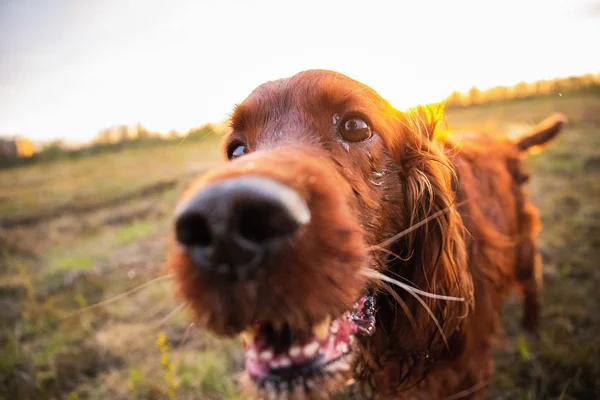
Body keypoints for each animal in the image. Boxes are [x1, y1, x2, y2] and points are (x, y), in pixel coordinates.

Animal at [168, 70, 568, 398]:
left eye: (356, 127)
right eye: (236, 149)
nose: (222, 223)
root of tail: (504, 142)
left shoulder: (468, 372)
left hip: (522, 246)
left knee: (532, 277)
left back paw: (532, 328)